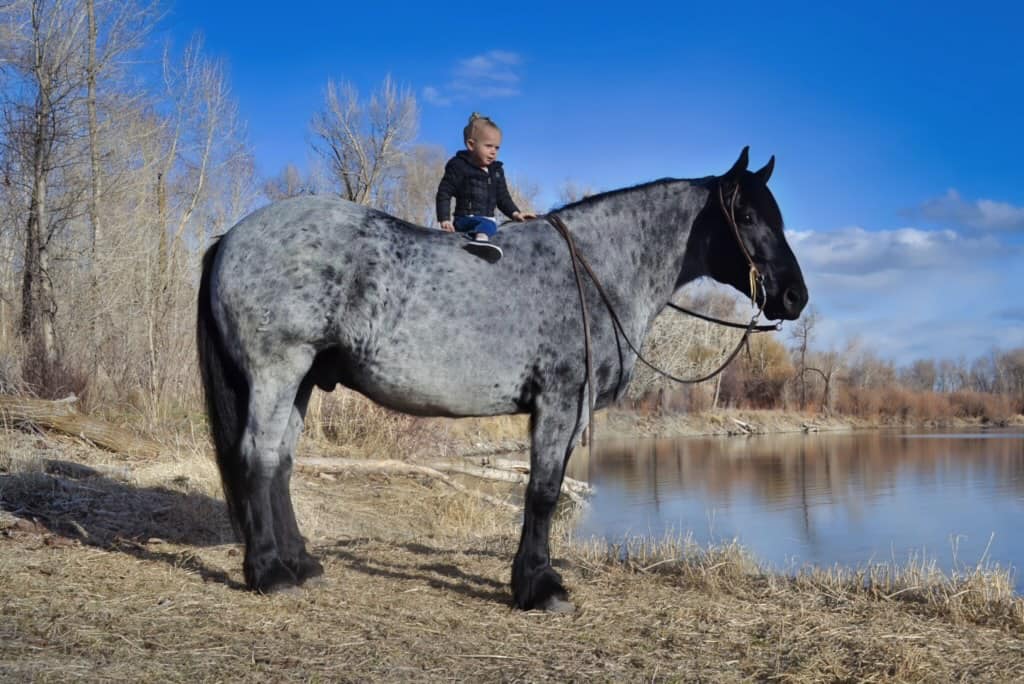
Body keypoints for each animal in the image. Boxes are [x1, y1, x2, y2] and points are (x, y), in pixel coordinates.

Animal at [196, 147, 807, 611]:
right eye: (747, 217)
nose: (795, 296)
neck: (595, 272)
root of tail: (232, 236)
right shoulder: (560, 402)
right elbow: (542, 493)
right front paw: (539, 587)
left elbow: (548, 489)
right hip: (278, 371)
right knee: (256, 459)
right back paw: (270, 572)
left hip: (301, 381)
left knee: (280, 464)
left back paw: (302, 563)